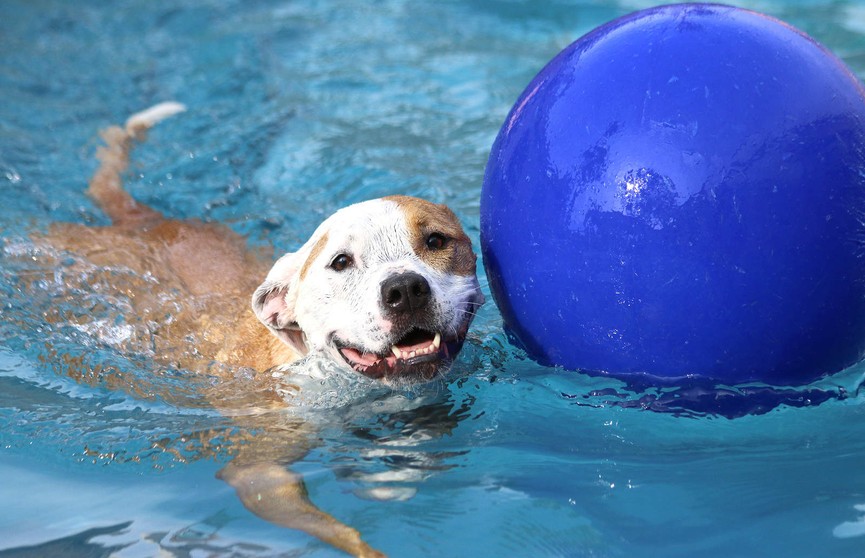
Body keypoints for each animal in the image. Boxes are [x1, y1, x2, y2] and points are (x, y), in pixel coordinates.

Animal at [33, 104, 482, 556]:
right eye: (340, 262)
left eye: (436, 240)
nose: (404, 289)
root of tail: (141, 222)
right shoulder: (259, 473)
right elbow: (338, 529)